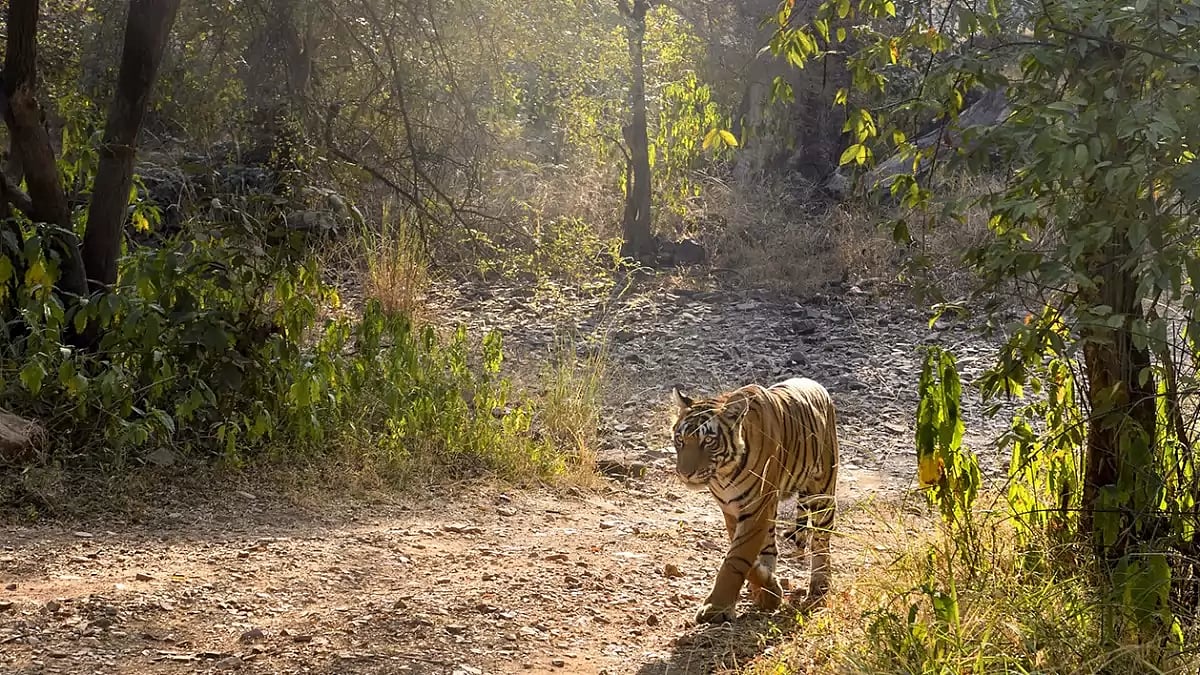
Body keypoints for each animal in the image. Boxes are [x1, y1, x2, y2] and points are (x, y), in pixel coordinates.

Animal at [670, 377, 839, 624]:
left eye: (709, 441)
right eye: (680, 440)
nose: (685, 473)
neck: (723, 474)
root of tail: (816, 385)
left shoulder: (756, 508)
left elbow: (736, 559)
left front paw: (716, 607)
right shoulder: (732, 510)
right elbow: (744, 556)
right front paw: (769, 589)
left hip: (823, 492)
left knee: (820, 541)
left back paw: (819, 584)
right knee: (771, 547)